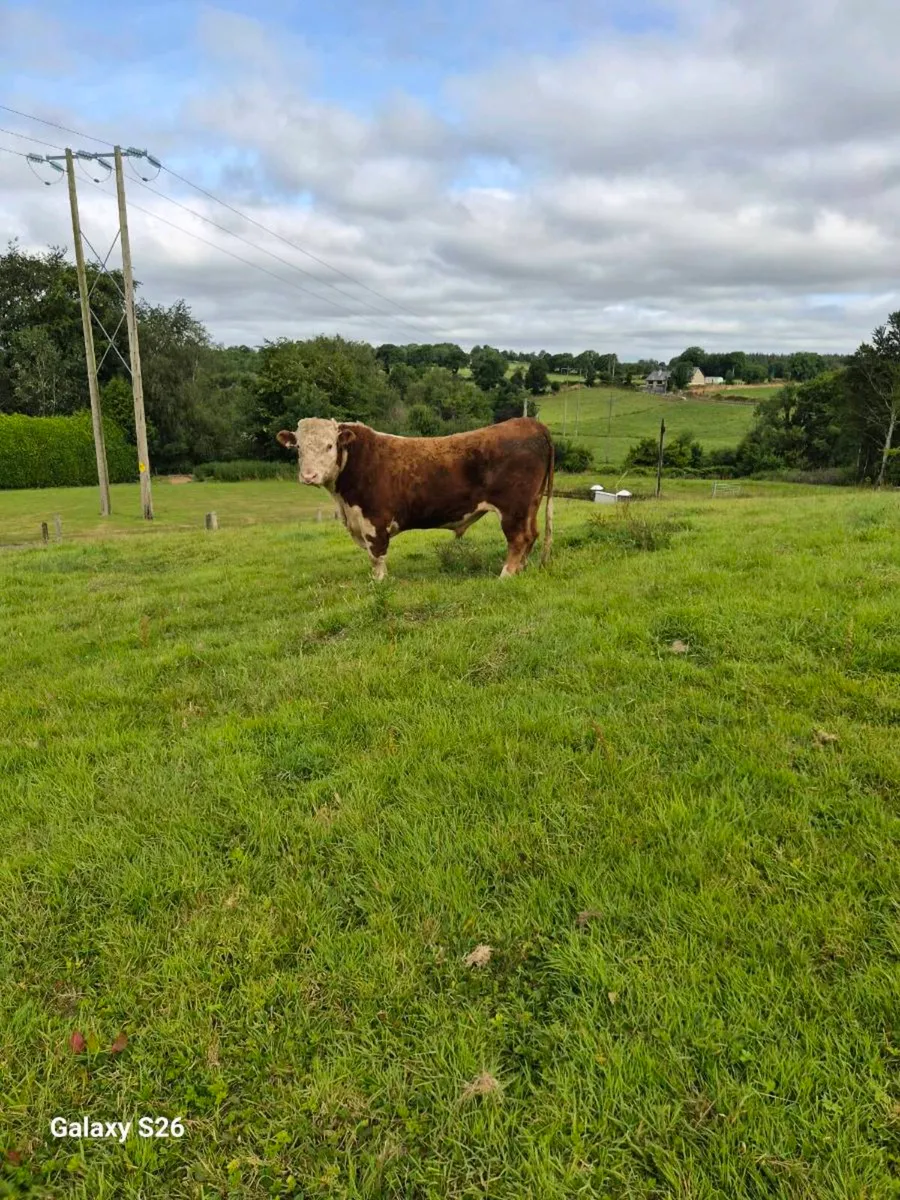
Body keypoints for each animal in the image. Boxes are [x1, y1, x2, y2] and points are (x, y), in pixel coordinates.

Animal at [276, 416, 554, 580]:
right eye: (298, 447)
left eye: (329, 446)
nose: (308, 475)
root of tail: (529, 422)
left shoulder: (374, 521)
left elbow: (377, 557)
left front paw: (379, 584)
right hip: (531, 504)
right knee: (532, 535)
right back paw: (521, 570)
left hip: (513, 507)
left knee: (519, 538)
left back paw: (506, 575)